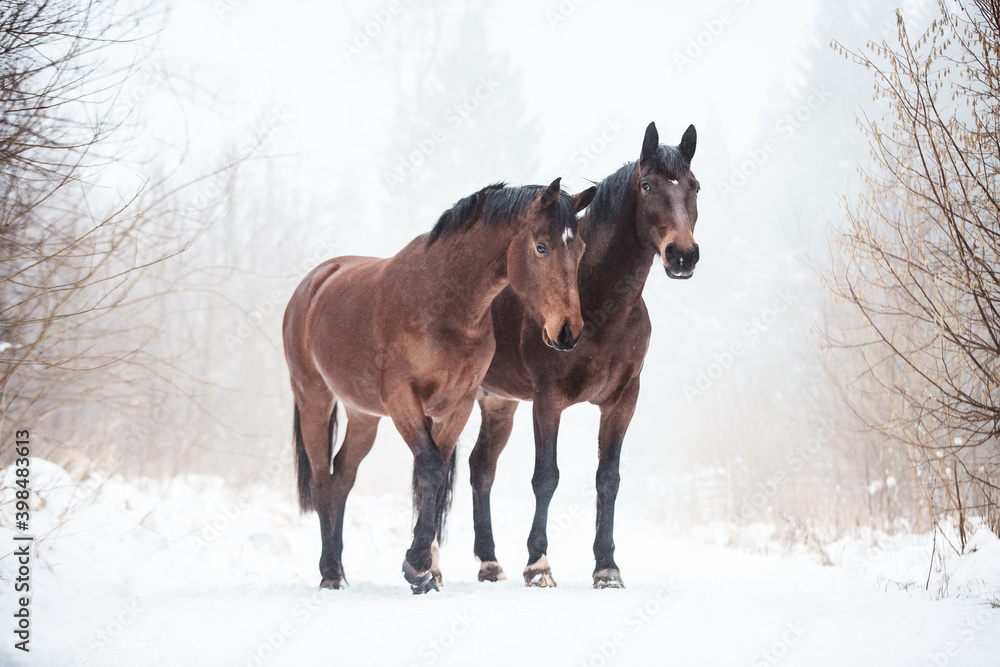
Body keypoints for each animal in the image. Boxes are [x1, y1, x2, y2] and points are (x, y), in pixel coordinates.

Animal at [280, 179, 592, 596]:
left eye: (580, 249)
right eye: (541, 246)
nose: (568, 331)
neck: (444, 301)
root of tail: (314, 282)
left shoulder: (457, 404)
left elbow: (438, 473)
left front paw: (423, 570)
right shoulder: (403, 398)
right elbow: (428, 466)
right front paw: (417, 567)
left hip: (363, 415)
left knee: (342, 475)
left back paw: (341, 569)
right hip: (314, 398)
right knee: (320, 479)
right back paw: (330, 572)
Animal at [470, 122, 700, 588]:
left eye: (695, 187)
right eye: (648, 186)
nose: (683, 255)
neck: (599, 305)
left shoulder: (622, 401)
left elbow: (608, 478)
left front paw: (607, 567)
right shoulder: (547, 399)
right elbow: (546, 477)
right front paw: (538, 564)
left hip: (498, 402)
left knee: (480, 468)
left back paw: (488, 562)